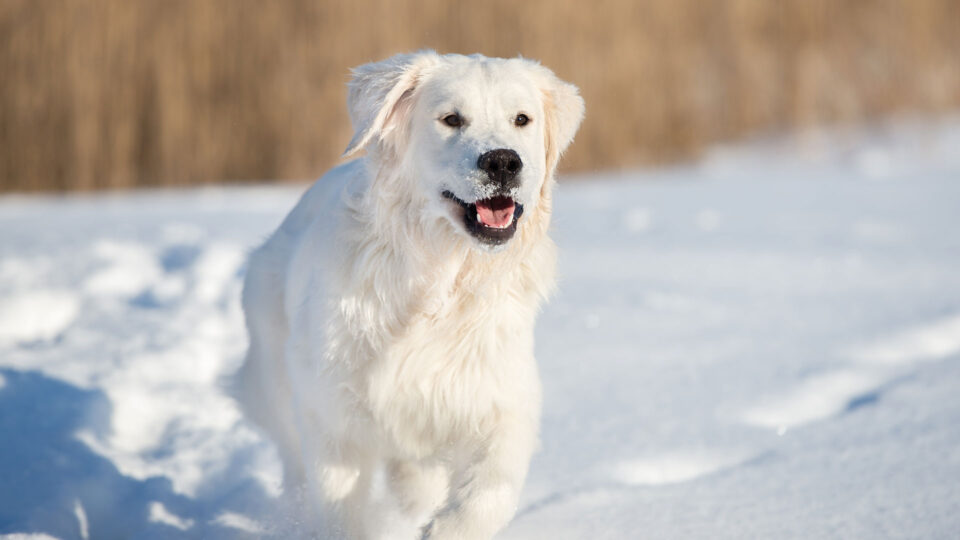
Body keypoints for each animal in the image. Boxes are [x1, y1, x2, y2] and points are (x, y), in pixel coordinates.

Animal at [240, 51, 584, 540]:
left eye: (522, 119)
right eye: (451, 119)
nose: (503, 162)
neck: (442, 277)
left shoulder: (498, 396)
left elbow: (490, 492)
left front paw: (444, 529)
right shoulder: (332, 413)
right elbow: (340, 508)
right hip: (278, 380)